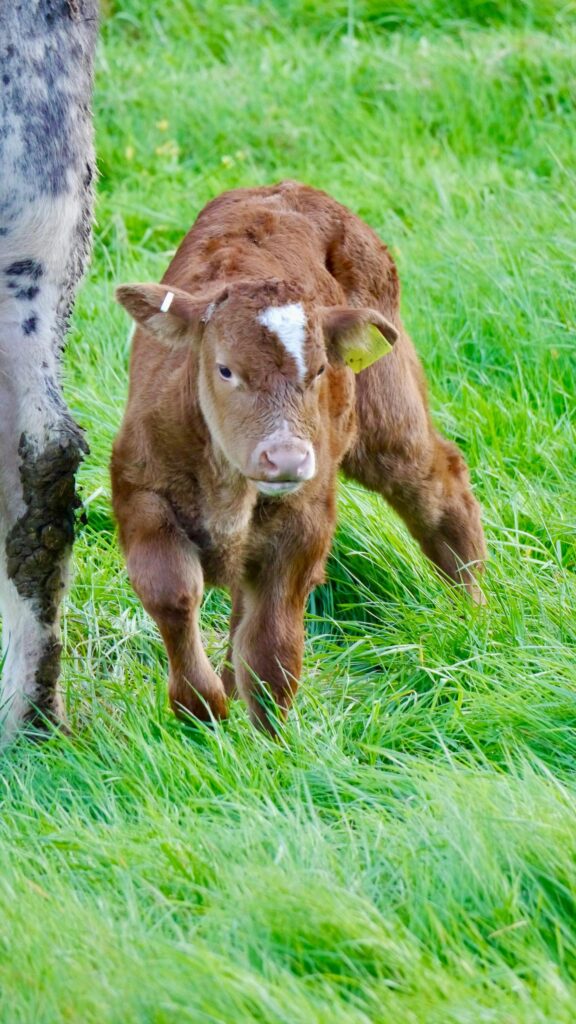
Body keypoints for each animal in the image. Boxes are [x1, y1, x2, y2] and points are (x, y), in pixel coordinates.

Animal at [111, 181, 486, 733]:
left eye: (321, 370)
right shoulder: (139, 490)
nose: (285, 458)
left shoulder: (304, 519)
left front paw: (270, 740)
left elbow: (272, 643)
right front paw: (202, 708)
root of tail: (289, 188)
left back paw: (473, 613)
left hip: (387, 410)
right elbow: (173, 594)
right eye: (225, 369)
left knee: (439, 484)